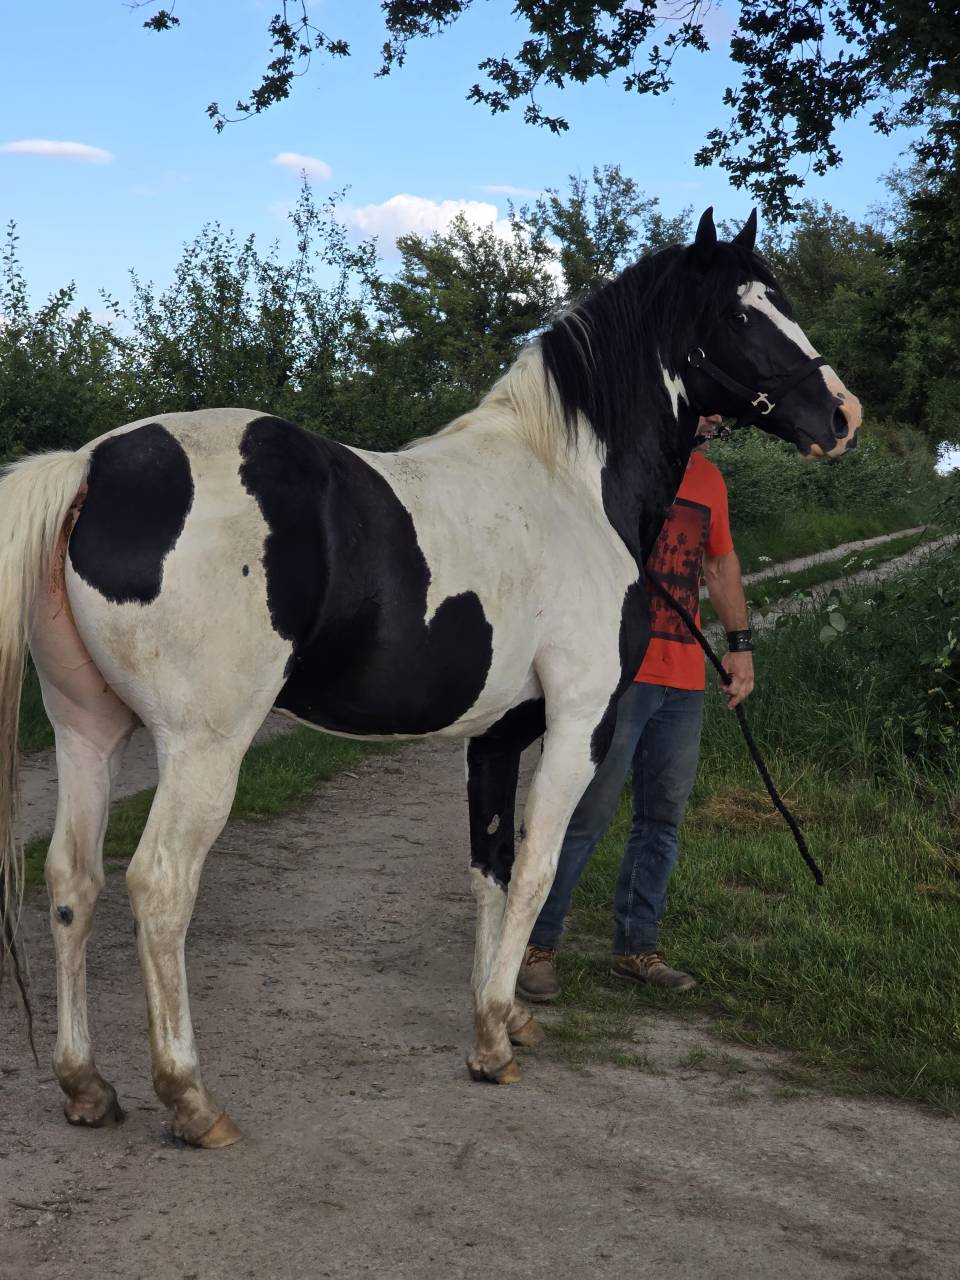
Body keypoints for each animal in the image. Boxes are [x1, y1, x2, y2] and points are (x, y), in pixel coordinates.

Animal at [0, 208, 860, 1148]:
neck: (571, 489)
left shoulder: (496, 735)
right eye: (742, 313)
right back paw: (190, 1098)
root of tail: (92, 468)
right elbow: (539, 866)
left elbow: (491, 869)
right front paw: (493, 1043)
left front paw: (503, 1013)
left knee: (72, 881)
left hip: (89, 732)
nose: (843, 414)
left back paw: (86, 1086)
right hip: (202, 748)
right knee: (157, 886)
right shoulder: (580, 722)